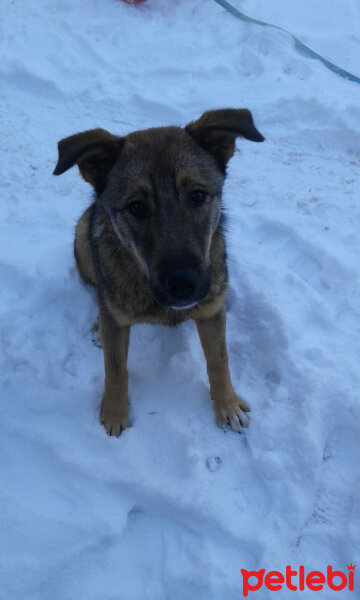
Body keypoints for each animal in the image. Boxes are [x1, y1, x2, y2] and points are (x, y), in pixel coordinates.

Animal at [54, 109, 264, 436]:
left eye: (197, 196)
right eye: (136, 206)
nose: (182, 284)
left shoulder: (210, 309)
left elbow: (219, 359)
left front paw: (227, 406)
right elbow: (115, 368)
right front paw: (114, 413)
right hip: (82, 236)